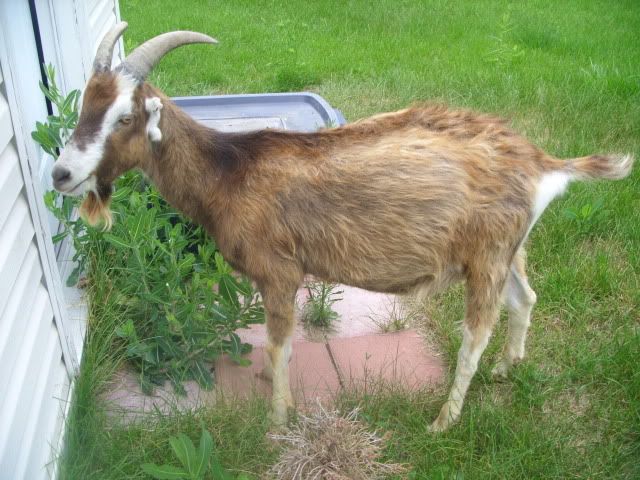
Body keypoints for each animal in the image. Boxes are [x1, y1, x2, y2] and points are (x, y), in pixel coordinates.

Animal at [52, 23, 634, 432]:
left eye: (125, 117)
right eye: (84, 106)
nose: (61, 174)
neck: (230, 171)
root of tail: (544, 164)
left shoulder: (279, 272)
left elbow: (279, 345)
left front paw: (277, 419)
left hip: (486, 255)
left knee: (475, 335)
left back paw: (443, 421)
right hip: (506, 249)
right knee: (526, 297)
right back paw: (508, 368)